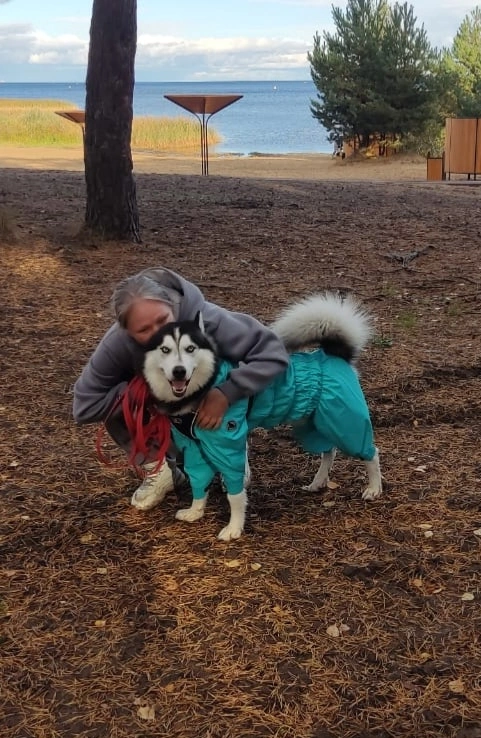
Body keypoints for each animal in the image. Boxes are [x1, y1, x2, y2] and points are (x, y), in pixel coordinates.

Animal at [141, 294, 380, 540]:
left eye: (190, 348)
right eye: (165, 349)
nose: (179, 371)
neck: (204, 389)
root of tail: (333, 354)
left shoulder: (228, 448)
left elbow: (235, 495)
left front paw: (234, 528)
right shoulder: (193, 448)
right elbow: (198, 481)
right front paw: (195, 511)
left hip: (344, 423)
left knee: (371, 453)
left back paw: (373, 488)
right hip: (312, 425)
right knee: (328, 451)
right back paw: (318, 482)